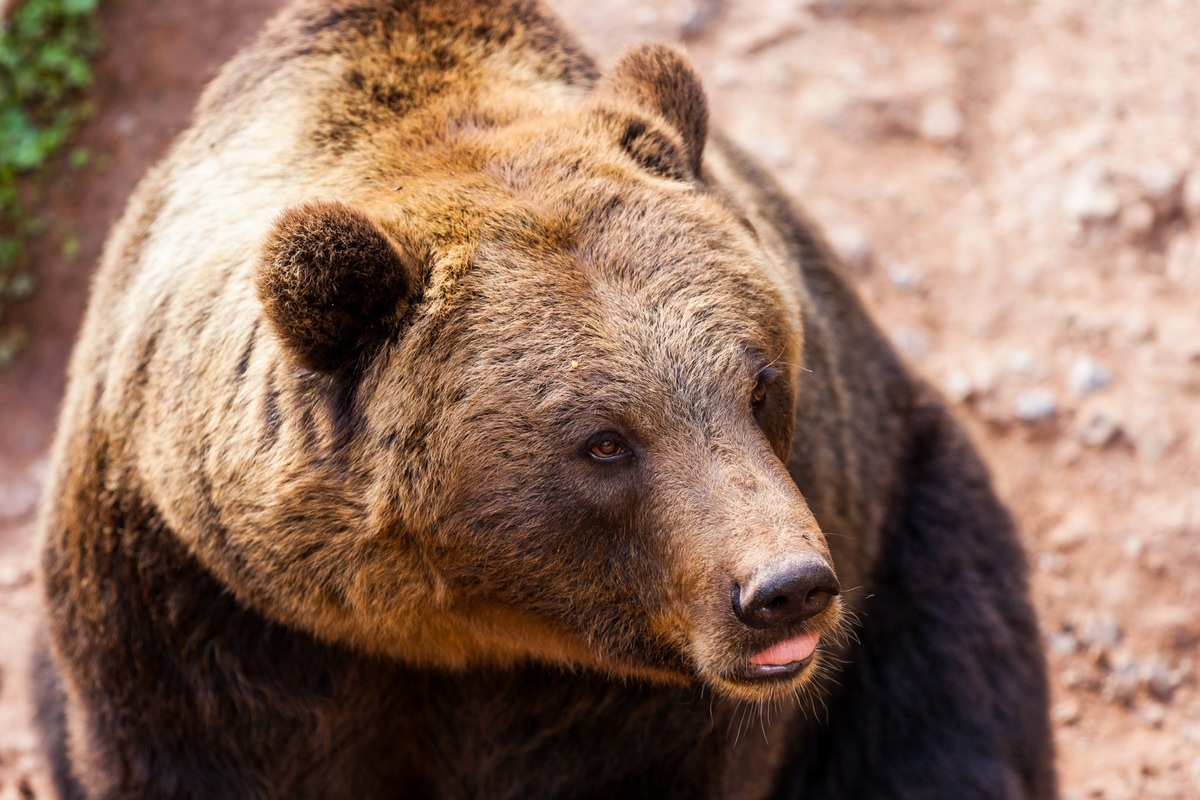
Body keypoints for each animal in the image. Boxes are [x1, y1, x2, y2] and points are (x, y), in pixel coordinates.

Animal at [32, 1, 1056, 800]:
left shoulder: (633, 715)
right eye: (605, 441)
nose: (785, 590)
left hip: (909, 542)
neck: (456, 634)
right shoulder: (202, 614)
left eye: (761, 385)